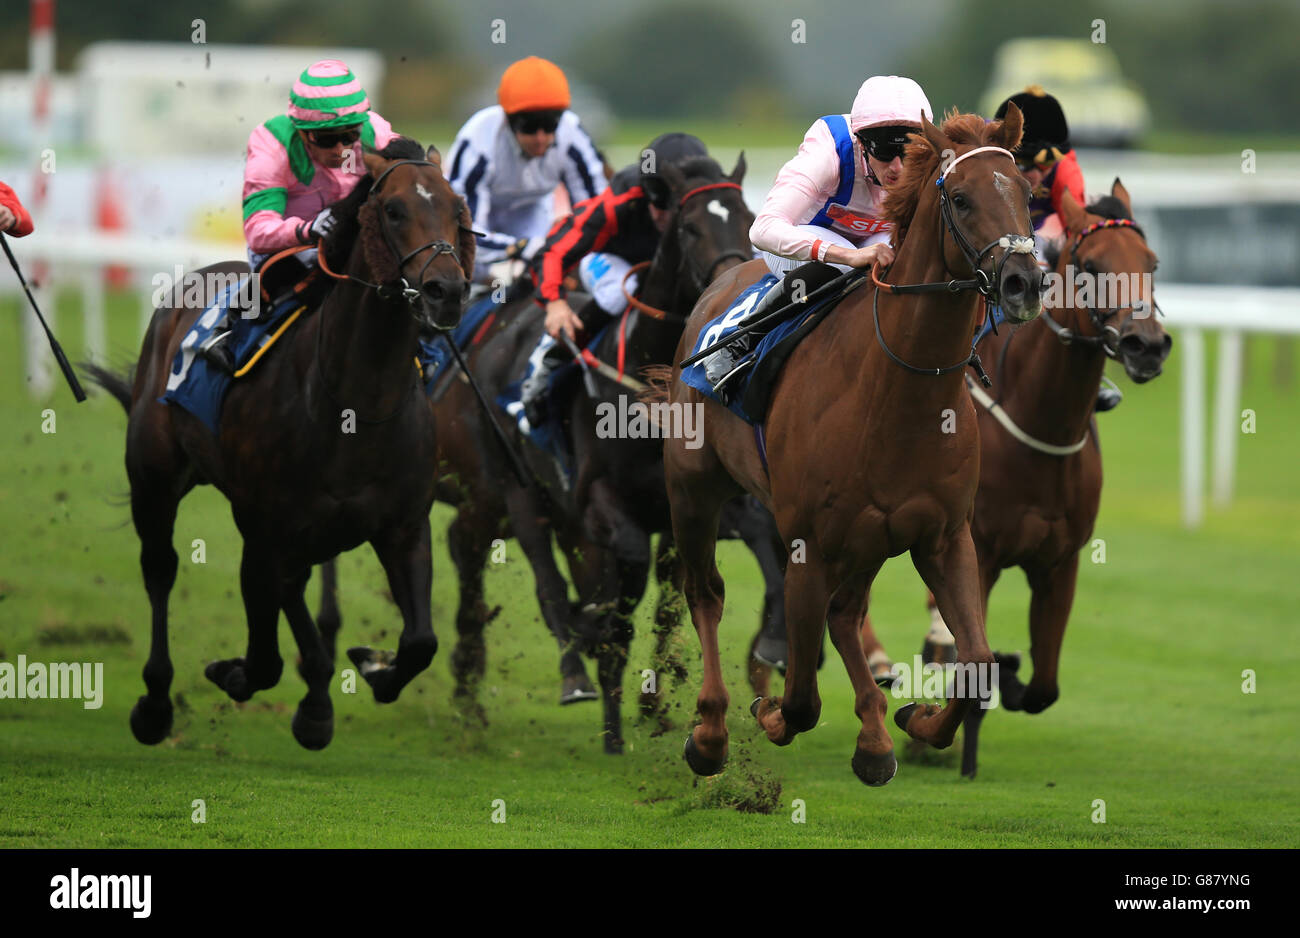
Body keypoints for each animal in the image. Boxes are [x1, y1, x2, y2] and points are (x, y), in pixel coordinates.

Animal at [86, 139, 475, 748]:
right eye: (392, 210)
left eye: (457, 208)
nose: (448, 291)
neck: (354, 405)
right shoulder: (266, 524)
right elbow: (264, 657)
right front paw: (236, 673)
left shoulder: (404, 526)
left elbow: (420, 643)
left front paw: (371, 667)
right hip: (157, 482)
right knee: (161, 568)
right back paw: (156, 703)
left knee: (292, 587)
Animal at [660, 107, 1045, 779]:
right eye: (962, 199)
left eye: (1025, 194)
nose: (1024, 282)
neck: (899, 391)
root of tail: (721, 279)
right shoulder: (807, 544)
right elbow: (800, 698)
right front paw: (765, 712)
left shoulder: (944, 536)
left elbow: (976, 664)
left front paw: (914, 720)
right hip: (693, 488)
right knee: (706, 592)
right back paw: (710, 731)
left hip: (871, 539)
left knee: (845, 614)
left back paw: (873, 734)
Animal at [883, 176, 1170, 774]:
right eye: (1091, 266)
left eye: (1151, 263)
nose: (1148, 345)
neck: (1043, 427)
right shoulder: (982, 554)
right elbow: (974, 658)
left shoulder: (1060, 561)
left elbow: (1044, 687)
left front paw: (1010, 681)